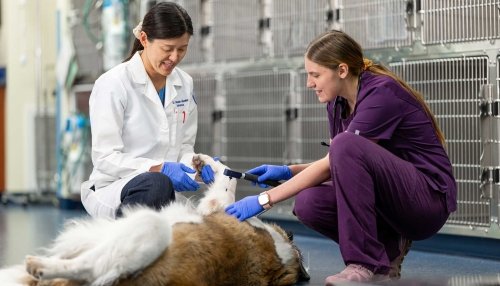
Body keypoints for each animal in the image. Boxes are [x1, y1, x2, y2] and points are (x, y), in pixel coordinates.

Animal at [0, 155, 304, 284]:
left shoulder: (218, 208)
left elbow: (226, 183)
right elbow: (225, 176)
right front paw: (202, 161)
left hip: (150, 225)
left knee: (92, 266)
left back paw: (41, 266)